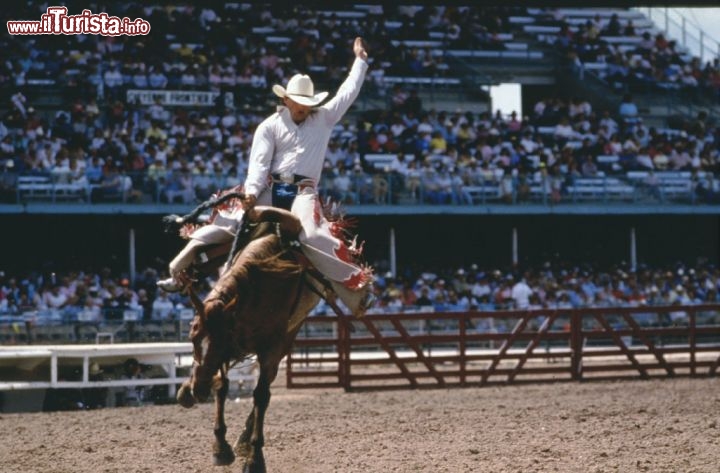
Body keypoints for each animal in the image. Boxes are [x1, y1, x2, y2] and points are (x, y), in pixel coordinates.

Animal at [167, 190, 360, 470]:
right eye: (192, 337)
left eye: (220, 340)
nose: (199, 389)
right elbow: (222, 386)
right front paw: (220, 446)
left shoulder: (267, 347)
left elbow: (260, 395)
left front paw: (254, 456)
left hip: (287, 339)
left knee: (265, 389)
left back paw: (245, 440)